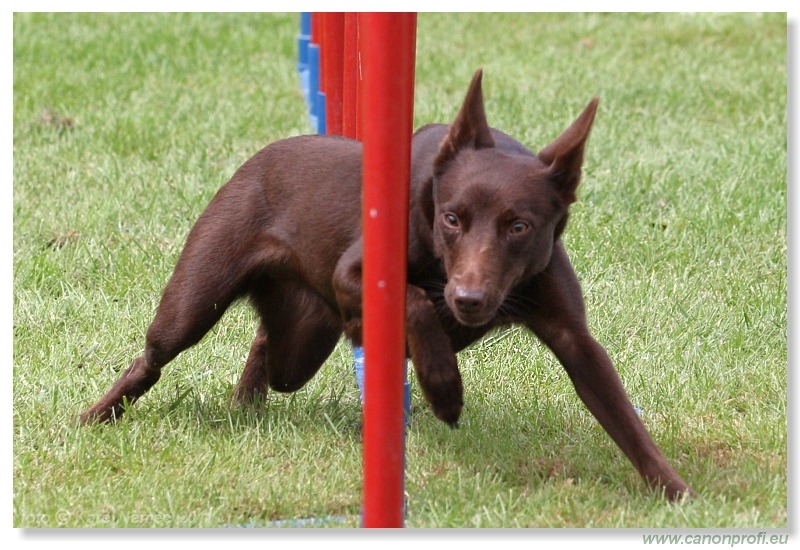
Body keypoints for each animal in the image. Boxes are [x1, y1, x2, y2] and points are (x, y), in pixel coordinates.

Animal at [83, 70, 692, 504]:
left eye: (519, 227)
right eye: (451, 218)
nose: (469, 300)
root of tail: (258, 156)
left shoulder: (571, 334)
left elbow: (622, 414)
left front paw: (674, 490)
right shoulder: (355, 274)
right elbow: (417, 301)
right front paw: (444, 386)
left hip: (303, 339)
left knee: (267, 347)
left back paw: (248, 402)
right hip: (196, 299)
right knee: (152, 358)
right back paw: (96, 416)